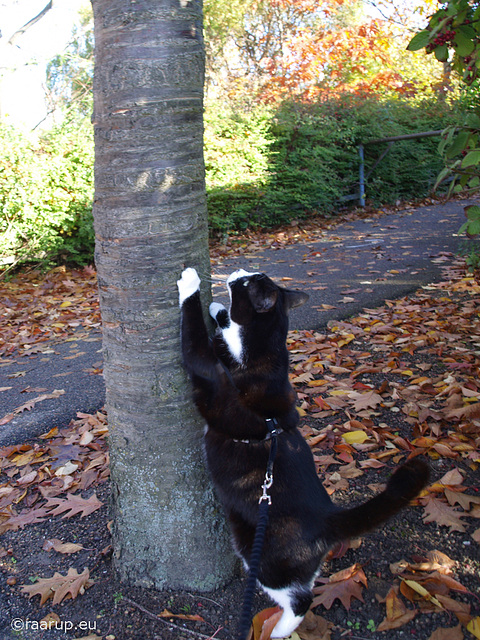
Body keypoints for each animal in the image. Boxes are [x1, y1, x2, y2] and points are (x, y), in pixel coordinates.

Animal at [177, 268, 432, 636]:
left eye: (246, 283)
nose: (238, 271)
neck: (262, 349)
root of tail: (328, 518)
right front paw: (217, 309)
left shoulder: (209, 370)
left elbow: (194, 336)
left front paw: (191, 284)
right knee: (308, 584)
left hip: (263, 555)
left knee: (299, 599)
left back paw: (279, 631)